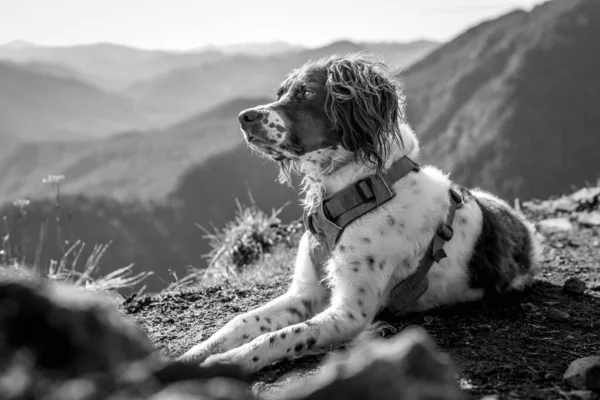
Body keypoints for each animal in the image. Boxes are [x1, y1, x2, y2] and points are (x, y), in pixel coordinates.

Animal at [177, 52, 540, 372]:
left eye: (306, 92)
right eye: (280, 94)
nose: (244, 117)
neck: (349, 193)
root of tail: (526, 230)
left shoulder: (347, 313)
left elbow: (279, 337)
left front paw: (226, 362)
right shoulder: (304, 294)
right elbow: (241, 321)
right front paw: (192, 355)